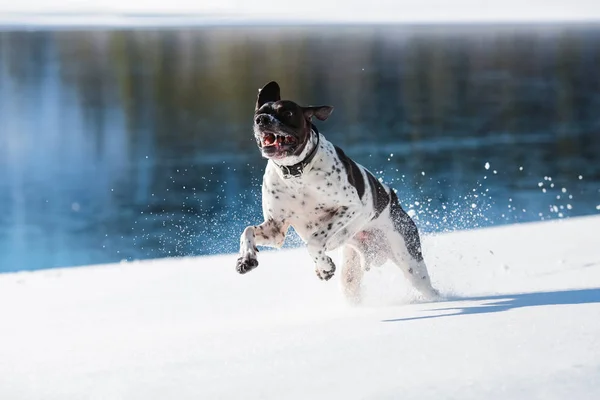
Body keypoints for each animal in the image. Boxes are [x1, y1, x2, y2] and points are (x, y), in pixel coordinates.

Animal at [237, 79, 438, 302]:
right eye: (259, 113)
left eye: (287, 112)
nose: (261, 120)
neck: (297, 174)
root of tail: (394, 201)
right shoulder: (276, 228)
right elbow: (247, 231)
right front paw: (246, 259)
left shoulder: (351, 208)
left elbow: (315, 241)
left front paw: (325, 267)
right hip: (350, 276)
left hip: (410, 261)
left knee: (428, 288)